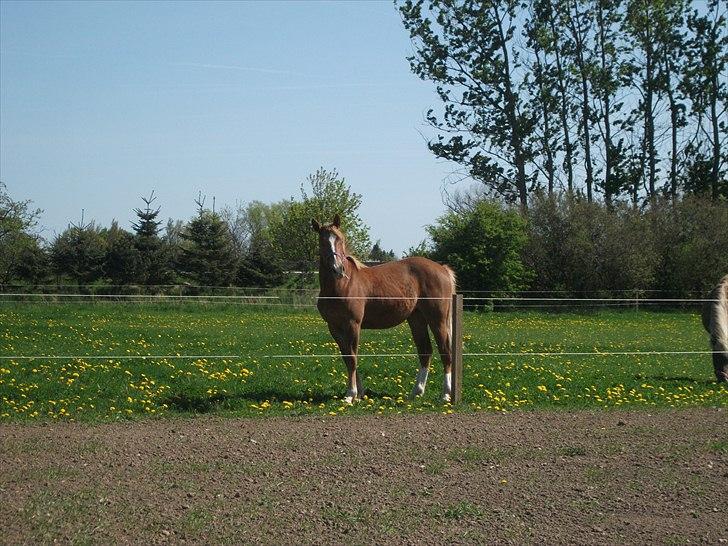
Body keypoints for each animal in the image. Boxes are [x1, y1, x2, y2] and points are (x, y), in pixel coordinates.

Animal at [312, 212, 456, 400]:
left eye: (341, 239)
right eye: (322, 241)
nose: (338, 268)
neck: (341, 285)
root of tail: (442, 268)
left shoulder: (353, 324)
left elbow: (352, 358)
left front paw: (351, 394)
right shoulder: (334, 327)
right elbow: (348, 358)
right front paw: (359, 393)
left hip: (438, 319)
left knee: (445, 352)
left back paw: (445, 394)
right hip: (417, 320)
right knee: (425, 351)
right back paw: (416, 392)